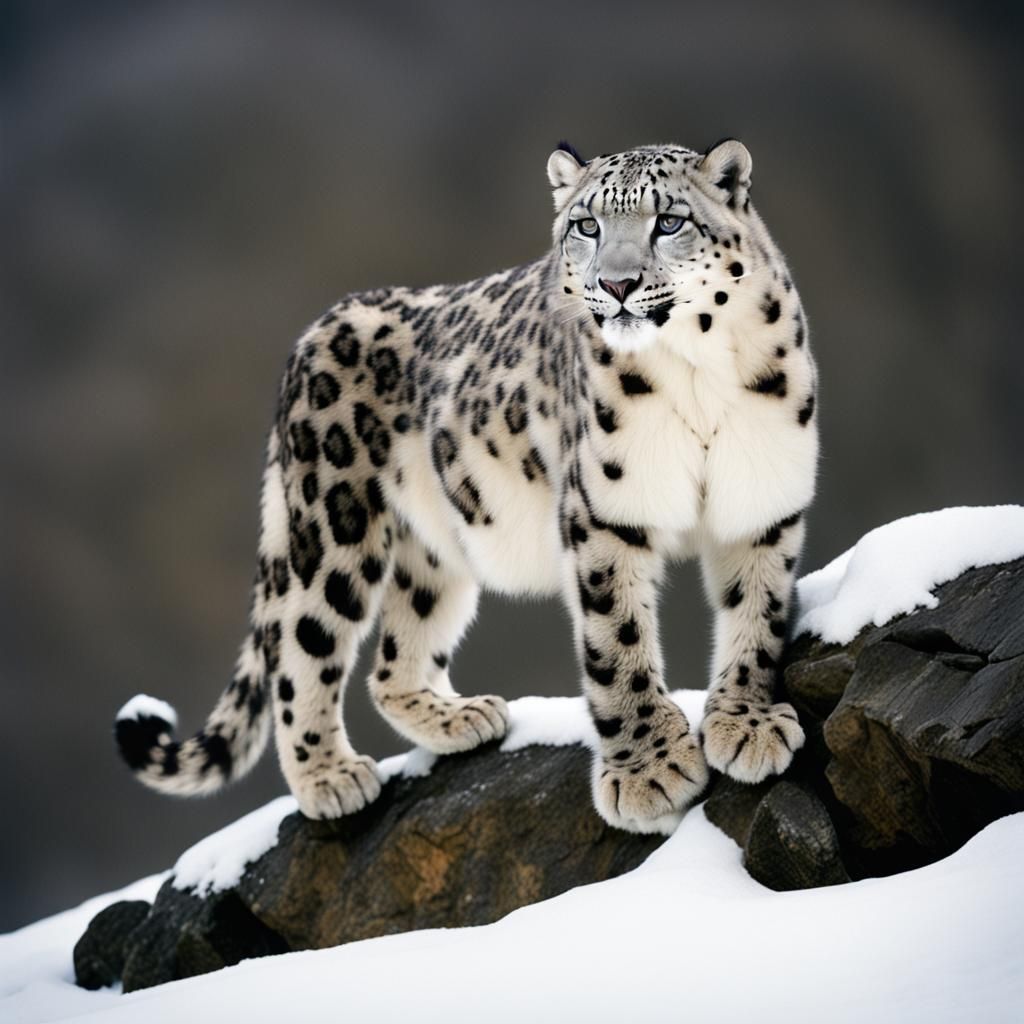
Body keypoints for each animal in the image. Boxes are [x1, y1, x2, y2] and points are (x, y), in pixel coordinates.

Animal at [115, 138, 817, 835]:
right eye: (586, 226)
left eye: (668, 221)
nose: (615, 285)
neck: (698, 374)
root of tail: (312, 331)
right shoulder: (602, 512)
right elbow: (615, 640)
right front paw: (649, 772)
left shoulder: (764, 498)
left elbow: (758, 613)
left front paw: (747, 725)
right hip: (330, 527)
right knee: (301, 644)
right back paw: (331, 777)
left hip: (432, 551)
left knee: (393, 659)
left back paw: (459, 718)